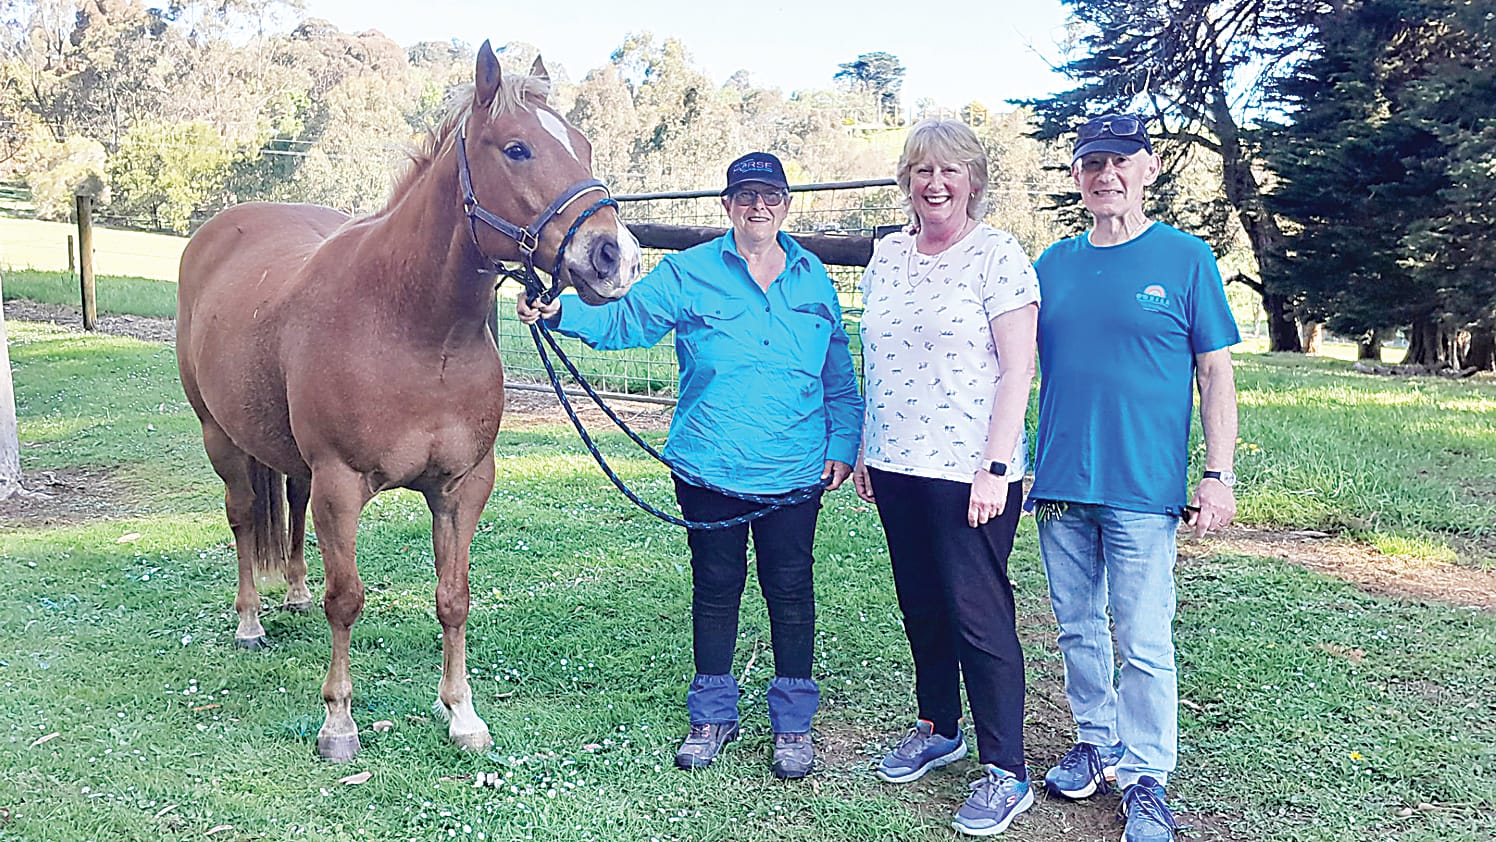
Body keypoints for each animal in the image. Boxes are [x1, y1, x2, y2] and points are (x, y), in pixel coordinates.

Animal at [176, 40, 641, 762]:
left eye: (584, 146)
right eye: (516, 149)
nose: (613, 256)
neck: (413, 326)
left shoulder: (461, 486)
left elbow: (454, 597)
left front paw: (462, 714)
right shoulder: (342, 485)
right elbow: (347, 599)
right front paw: (339, 722)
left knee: (290, 507)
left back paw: (295, 592)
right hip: (220, 440)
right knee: (245, 517)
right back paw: (251, 620)